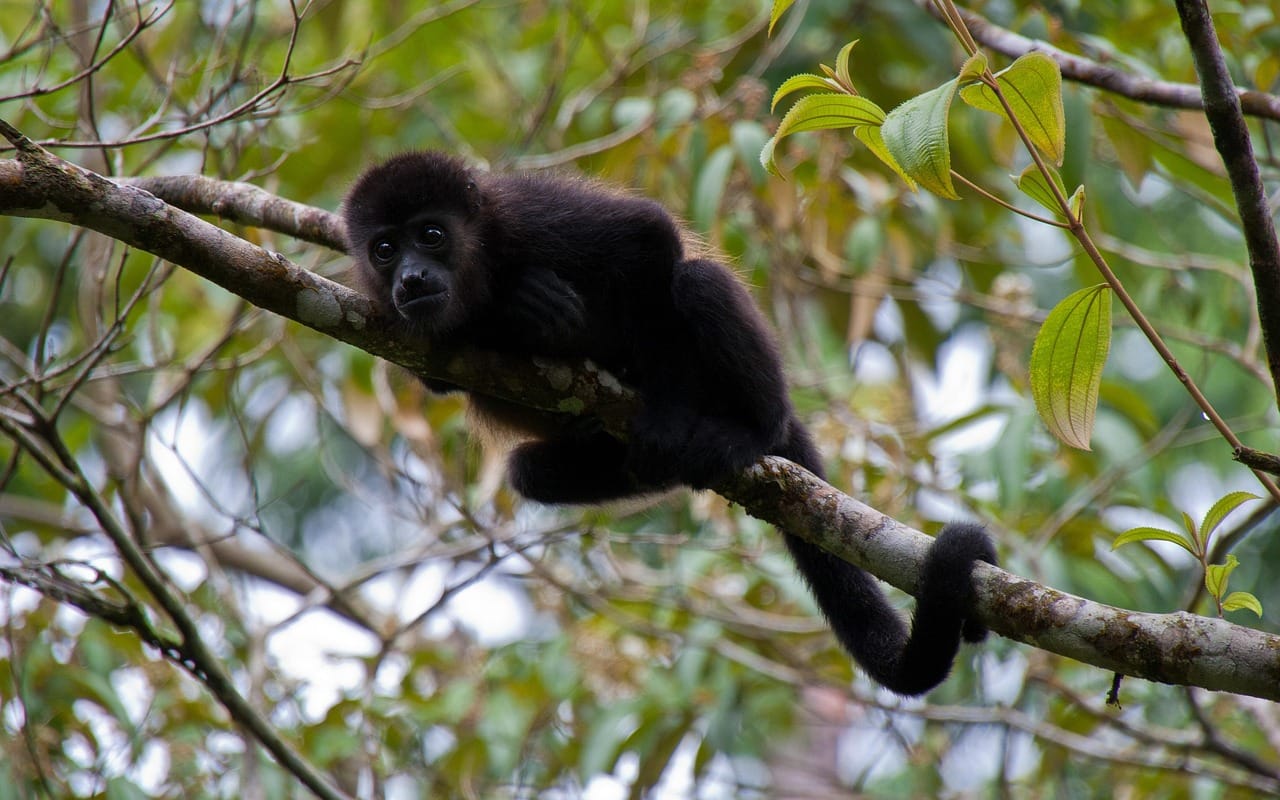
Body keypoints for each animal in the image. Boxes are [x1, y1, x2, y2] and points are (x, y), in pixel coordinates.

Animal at [342, 151, 997, 695]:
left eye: (431, 235)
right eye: (384, 250)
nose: (411, 277)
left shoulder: (526, 216)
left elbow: (647, 235)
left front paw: (657, 404)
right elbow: (437, 372)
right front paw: (519, 313)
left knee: (697, 284)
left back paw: (746, 432)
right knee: (529, 473)